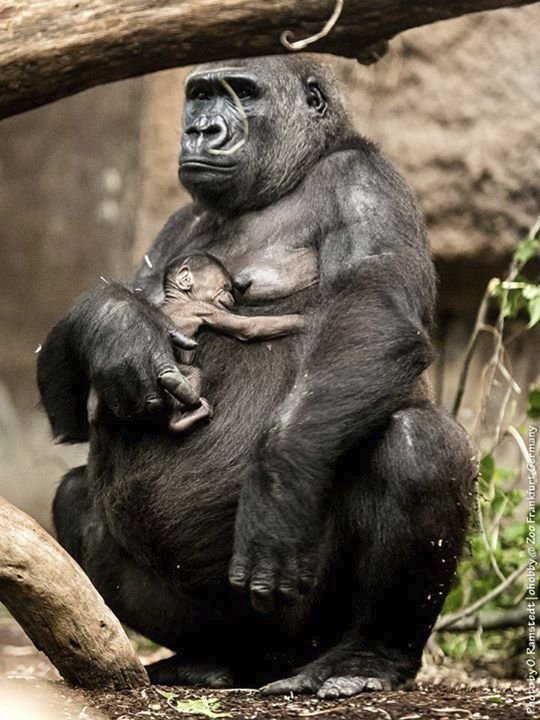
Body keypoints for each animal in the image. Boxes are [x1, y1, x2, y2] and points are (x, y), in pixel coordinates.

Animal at [160, 253, 306, 434]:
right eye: (224, 287)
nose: (230, 297)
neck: (178, 298)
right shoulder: (206, 308)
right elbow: (248, 327)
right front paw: (305, 320)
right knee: (191, 375)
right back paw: (182, 420)